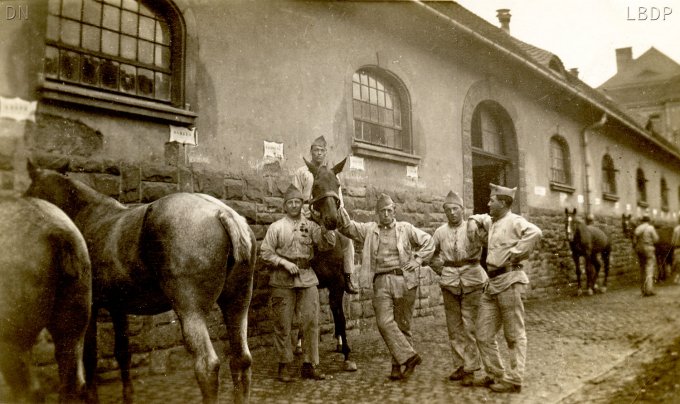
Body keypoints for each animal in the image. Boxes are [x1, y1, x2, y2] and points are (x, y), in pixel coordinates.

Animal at [25, 162, 256, 404]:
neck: (88, 215)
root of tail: (222, 212)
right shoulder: (118, 306)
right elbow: (123, 352)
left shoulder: (91, 308)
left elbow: (90, 356)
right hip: (237, 305)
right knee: (241, 360)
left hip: (191, 310)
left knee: (207, 366)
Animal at [296, 157, 356, 372]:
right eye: (316, 186)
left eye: (337, 185)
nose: (332, 220)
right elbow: (305, 315)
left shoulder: (337, 283)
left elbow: (340, 315)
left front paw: (346, 353)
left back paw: (339, 340)